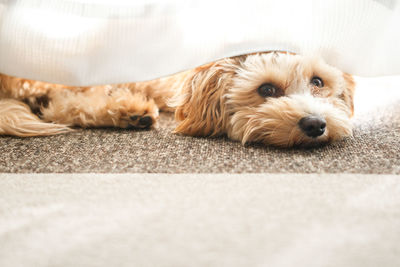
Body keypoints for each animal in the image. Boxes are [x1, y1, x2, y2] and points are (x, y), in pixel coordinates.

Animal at [0, 52, 356, 148]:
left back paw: (131, 113)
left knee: (58, 106)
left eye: (318, 82)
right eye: (266, 90)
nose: (315, 124)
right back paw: (129, 109)